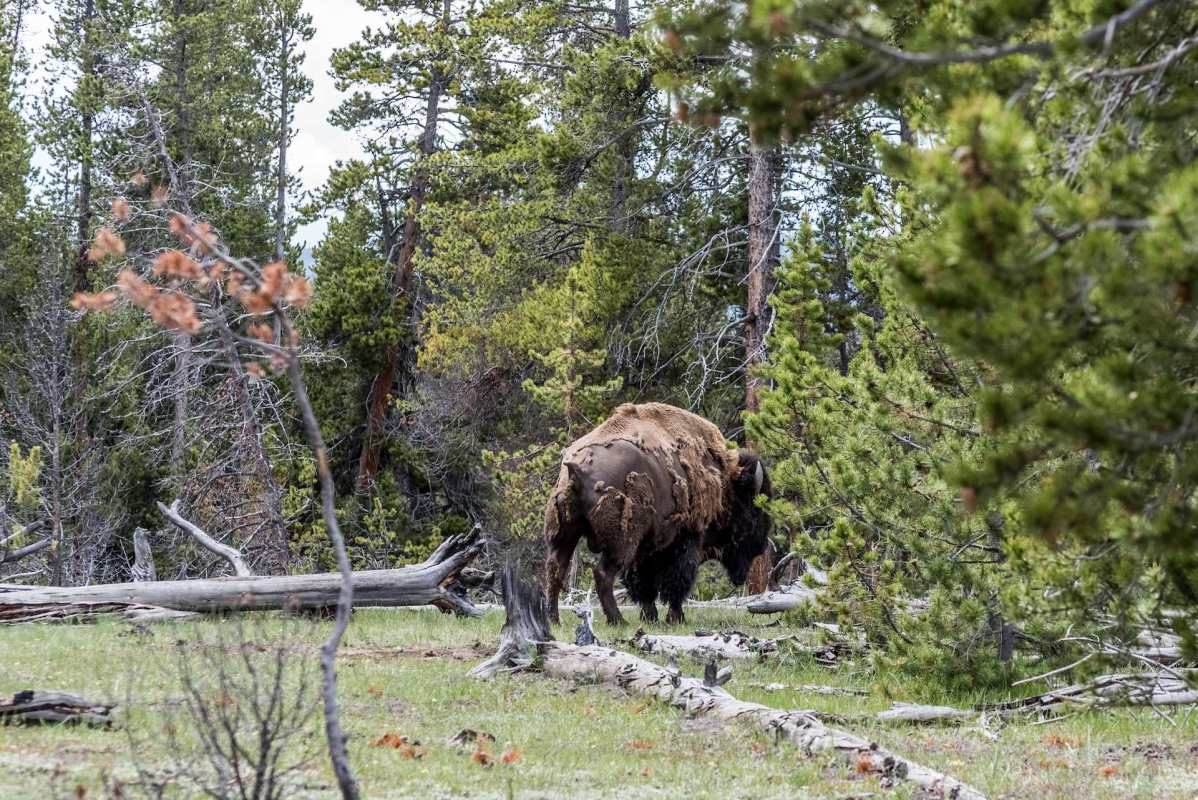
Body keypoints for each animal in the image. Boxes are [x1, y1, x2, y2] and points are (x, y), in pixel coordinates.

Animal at [543, 402, 771, 626]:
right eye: (754, 507)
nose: (761, 546)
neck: (723, 480)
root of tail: (577, 470)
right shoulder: (686, 539)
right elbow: (677, 581)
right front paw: (676, 618)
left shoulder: (647, 547)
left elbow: (645, 585)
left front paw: (650, 617)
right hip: (620, 543)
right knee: (602, 574)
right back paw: (618, 620)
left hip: (565, 534)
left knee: (555, 570)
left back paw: (554, 619)